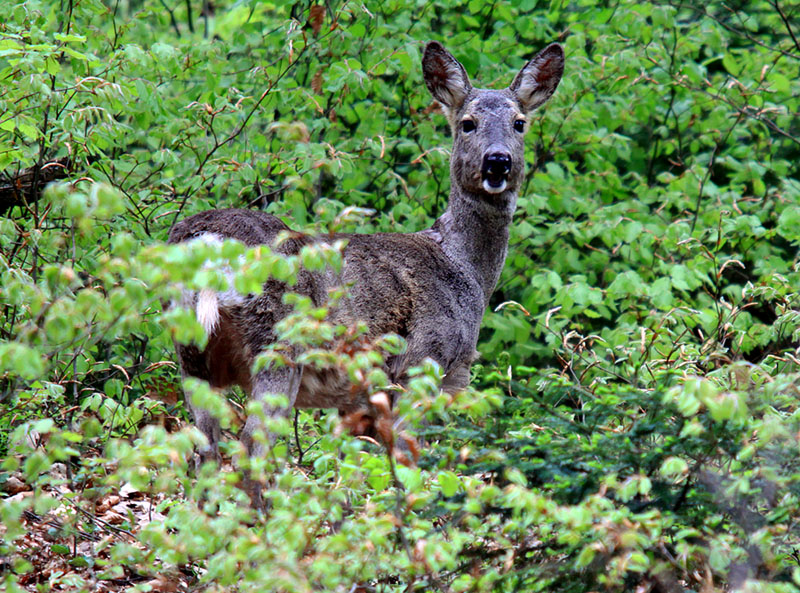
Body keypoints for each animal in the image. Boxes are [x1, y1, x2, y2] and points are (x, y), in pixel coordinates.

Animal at [169, 39, 564, 498]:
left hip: (192, 351)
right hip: (276, 341)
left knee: (206, 446)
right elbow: (407, 460)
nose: (497, 161)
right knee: (251, 443)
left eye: (520, 123)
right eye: (467, 123)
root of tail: (207, 242)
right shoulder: (422, 361)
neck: (465, 267)